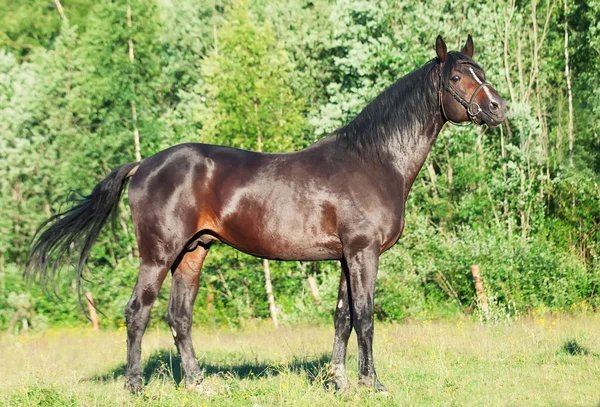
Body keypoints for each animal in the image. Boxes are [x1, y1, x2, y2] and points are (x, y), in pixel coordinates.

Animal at [24, 35, 506, 396]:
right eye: (458, 76)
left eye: (481, 72)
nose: (499, 108)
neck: (374, 160)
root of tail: (143, 165)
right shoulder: (363, 253)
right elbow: (366, 317)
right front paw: (374, 385)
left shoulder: (344, 256)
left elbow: (343, 318)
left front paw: (340, 382)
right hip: (157, 256)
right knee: (136, 312)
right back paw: (136, 388)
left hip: (193, 252)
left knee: (179, 317)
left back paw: (199, 385)